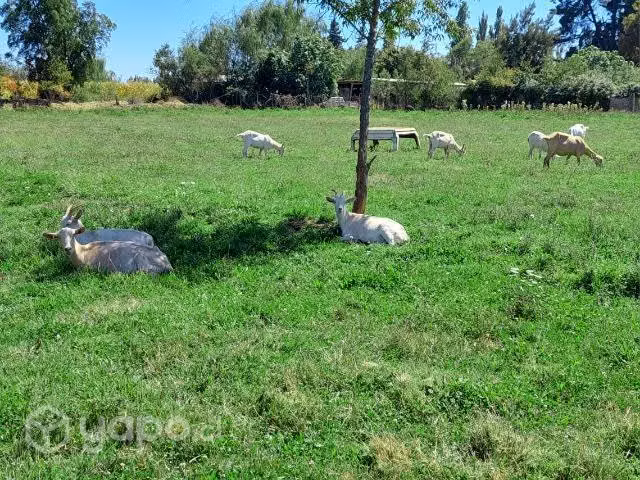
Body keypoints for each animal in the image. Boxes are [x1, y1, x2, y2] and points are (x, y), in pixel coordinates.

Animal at [44, 227, 173, 274]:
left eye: (73, 235)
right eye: (59, 237)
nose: (67, 248)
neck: (83, 252)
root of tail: (167, 262)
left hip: (144, 263)